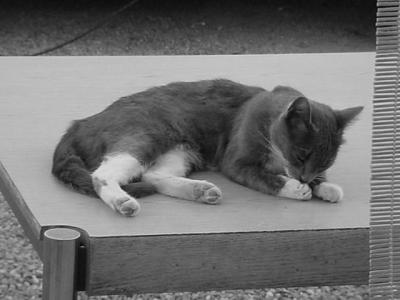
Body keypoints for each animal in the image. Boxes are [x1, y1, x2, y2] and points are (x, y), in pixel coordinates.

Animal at [52, 78, 362, 217]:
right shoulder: (236, 159)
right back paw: (122, 201)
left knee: (154, 175)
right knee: (103, 174)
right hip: (147, 133)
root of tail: (81, 122)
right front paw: (295, 188)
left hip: (182, 149)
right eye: (302, 154)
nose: (305, 178)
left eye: (325, 162)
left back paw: (201, 191)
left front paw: (325, 187)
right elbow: (262, 176)